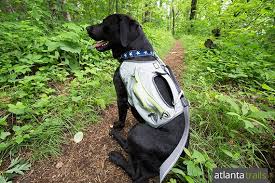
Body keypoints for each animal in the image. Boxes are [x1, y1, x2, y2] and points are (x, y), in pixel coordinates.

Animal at [87, 13, 189, 182]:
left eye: (105, 23)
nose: (87, 28)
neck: (135, 53)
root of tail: (177, 159)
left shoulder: (121, 96)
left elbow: (121, 116)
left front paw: (117, 126)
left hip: (137, 132)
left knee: (135, 170)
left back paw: (116, 151)